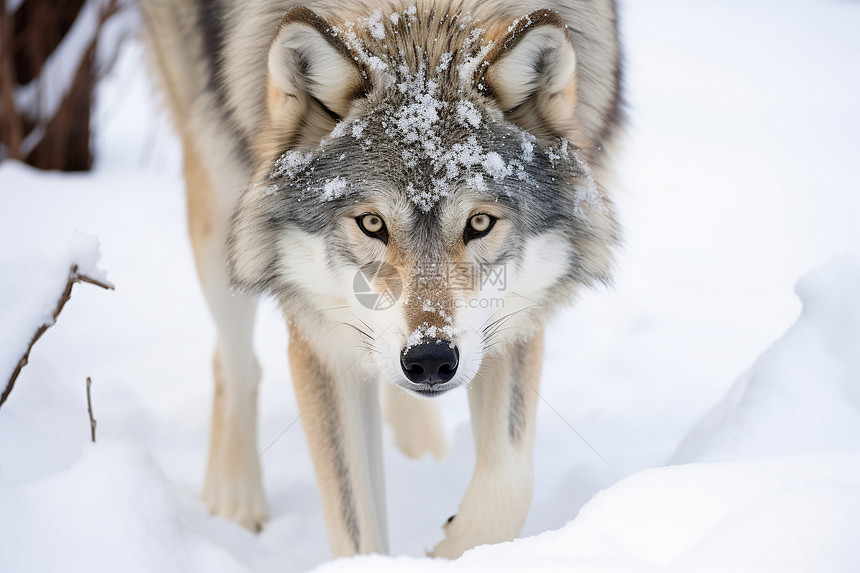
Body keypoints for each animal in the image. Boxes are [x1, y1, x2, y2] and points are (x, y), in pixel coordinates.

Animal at [141, 0, 620, 556]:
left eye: (479, 223)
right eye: (372, 224)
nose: (430, 361)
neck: (424, 18)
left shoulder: (515, 315)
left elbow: (509, 480)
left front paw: (451, 550)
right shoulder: (321, 337)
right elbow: (356, 528)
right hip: (221, 197)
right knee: (233, 362)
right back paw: (234, 499)